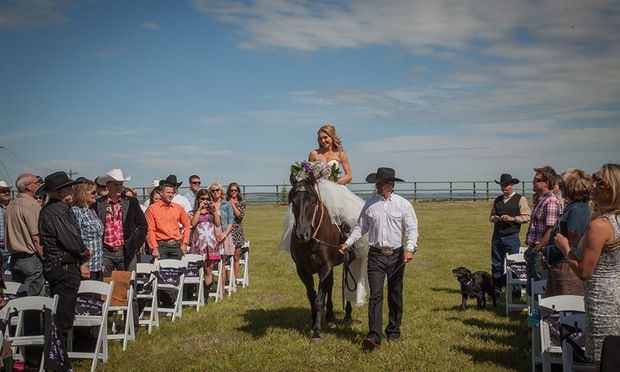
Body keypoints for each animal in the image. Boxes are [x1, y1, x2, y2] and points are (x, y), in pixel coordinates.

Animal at [288, 174, 352, 342]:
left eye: (312, 201)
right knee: (330, 285)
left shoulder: (325, 267)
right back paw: (330, 315)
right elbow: (312, 295)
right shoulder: (302, 270)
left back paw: (348, 313)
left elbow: (319, 299)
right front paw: (312, 323)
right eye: (293, 202)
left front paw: (316, 332)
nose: (301, 234)